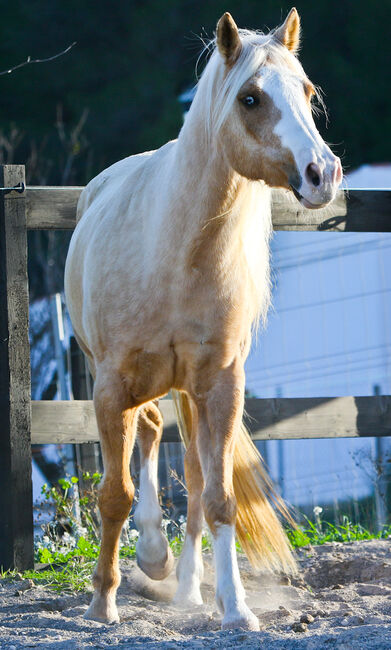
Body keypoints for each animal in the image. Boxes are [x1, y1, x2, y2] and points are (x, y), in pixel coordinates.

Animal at [66, 8, 342, 628]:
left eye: (307, 91)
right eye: (250, 98)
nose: (322, 172)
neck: (176, 251)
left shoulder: (219, 384)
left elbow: (218, 498)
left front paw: (235, 609)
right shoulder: (110, 386)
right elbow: (113, 494)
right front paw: (102, 602)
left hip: (183, 390)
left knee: (188, 472)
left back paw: (189, 587)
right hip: (128, 382)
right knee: (145, 436)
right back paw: (151, 556)